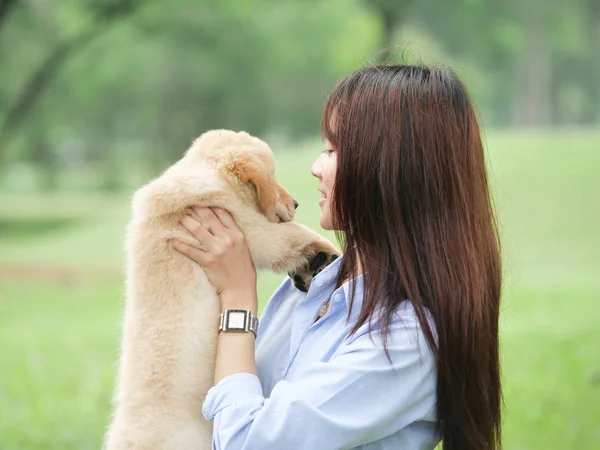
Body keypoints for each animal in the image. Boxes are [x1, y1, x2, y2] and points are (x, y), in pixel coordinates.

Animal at [102, 130, 338, 450]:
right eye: (272, 173)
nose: (298, 203)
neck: (207, 174)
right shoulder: (251, 229)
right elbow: (296, 235)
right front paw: (333, 253)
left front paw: (315, 265)